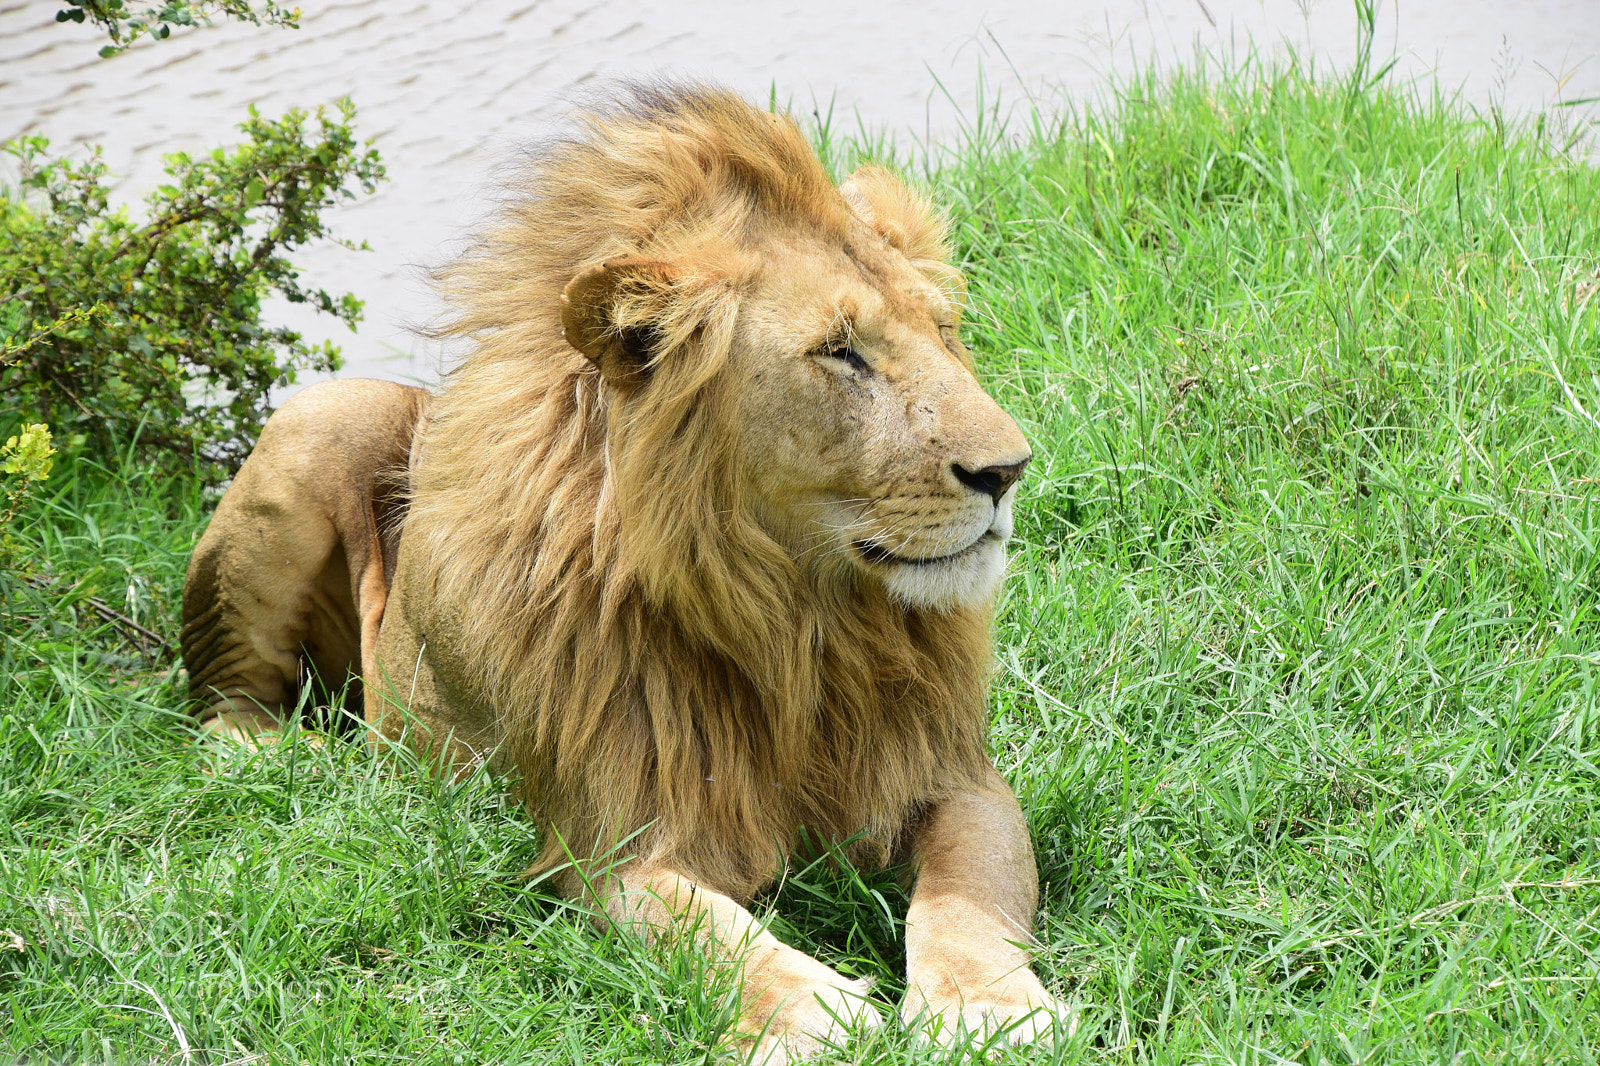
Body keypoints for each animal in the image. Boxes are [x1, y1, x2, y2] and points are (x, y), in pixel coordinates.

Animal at [181, 82, 1060, 1062]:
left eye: (944, 332)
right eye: (840, 351)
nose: (1009, 469)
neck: (799, 622)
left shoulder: (955, 776)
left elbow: (969, 894)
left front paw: (988, 1007)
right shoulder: (604, 844)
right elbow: (708, 934)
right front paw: (816, 1016)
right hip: (323, 417)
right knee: (224, 701)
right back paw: (292, 761)